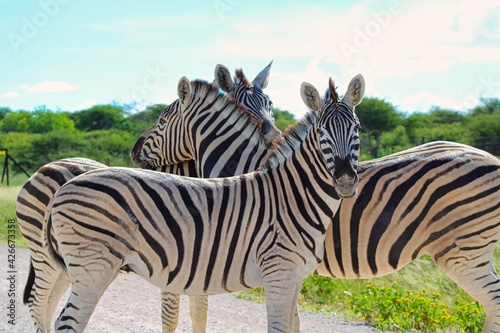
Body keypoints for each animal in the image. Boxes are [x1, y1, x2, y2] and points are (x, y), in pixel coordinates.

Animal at [15, 63, 280, 332]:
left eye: (270, 104)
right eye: (237, 104)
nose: (274, 138)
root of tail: (48, 165)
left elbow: (199, 313)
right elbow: (171, 315)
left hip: (70, 264)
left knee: (50, 303)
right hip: (45, 256)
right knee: (38, 301)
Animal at [41, 74, 366, 330]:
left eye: (358, 128)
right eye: (321, 133)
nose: (345, 180)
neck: (293, 194)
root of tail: (65, 186)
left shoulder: (295, 278)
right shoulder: (278, 275)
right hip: (92, 268)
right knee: (66, 321)